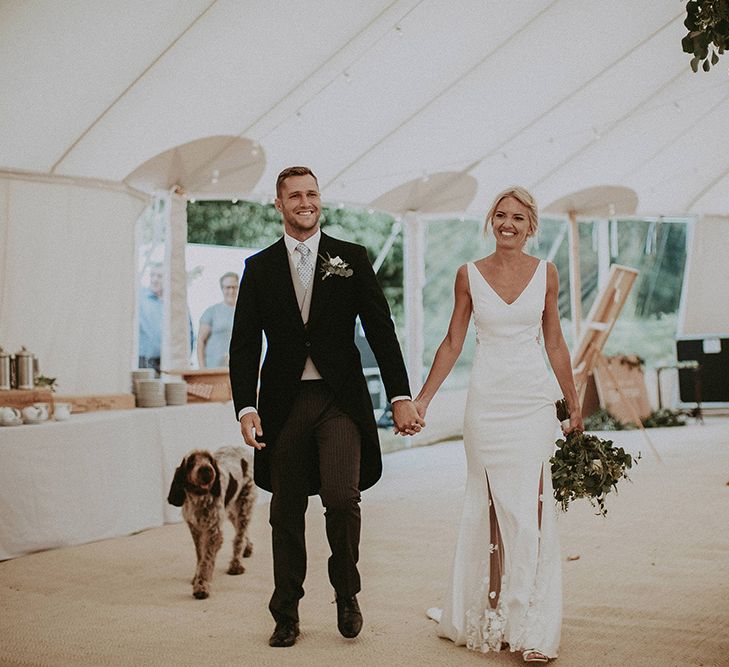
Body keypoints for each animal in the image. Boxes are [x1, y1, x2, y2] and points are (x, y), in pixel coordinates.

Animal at [168, 448, 256, 600]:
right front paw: (197, 578)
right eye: (191, 461)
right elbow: (200, 555)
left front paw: (201, 586)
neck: (199, 498)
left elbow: (206, 560)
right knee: (242, 530)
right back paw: (247, 548)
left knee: (239, 536)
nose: (206, 470)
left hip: (244, 504)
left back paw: (236, 565)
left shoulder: (214, 532)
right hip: (231, 509)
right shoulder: (195, 529)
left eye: (209, 459)